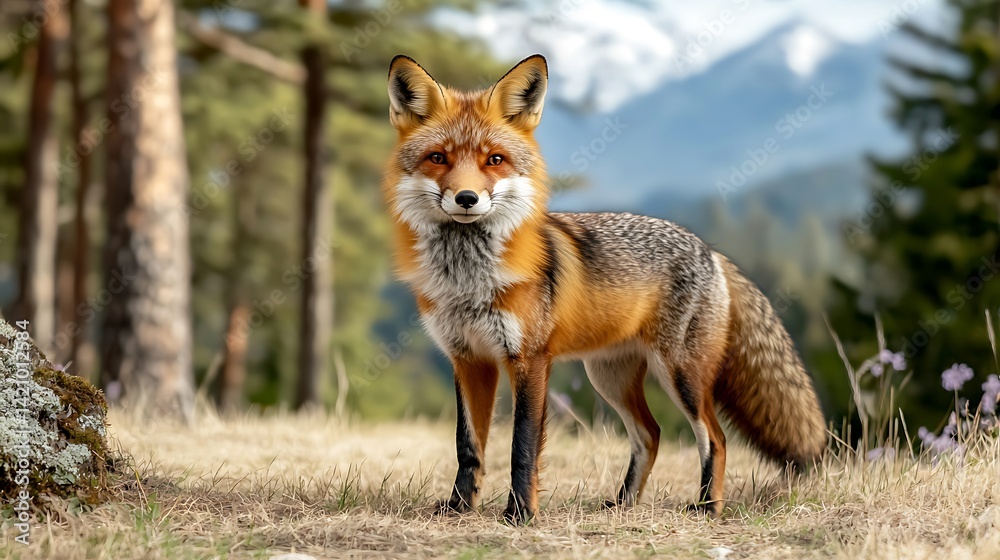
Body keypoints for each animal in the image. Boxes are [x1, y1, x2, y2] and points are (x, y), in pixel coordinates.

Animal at [382, 54, 826, 524]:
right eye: (438, 158)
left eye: (495, 160)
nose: (466, 198)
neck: (468, 282)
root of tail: (711, 250)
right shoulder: (469, 360)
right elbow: (468, 446)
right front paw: (458, 508)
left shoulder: (530, 360)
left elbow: (523, 447)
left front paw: (521, 514)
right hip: (609, 378)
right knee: (652, 434)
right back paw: (624, 503)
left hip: (681, 376)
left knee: (715, 438)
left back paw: (707, 507)